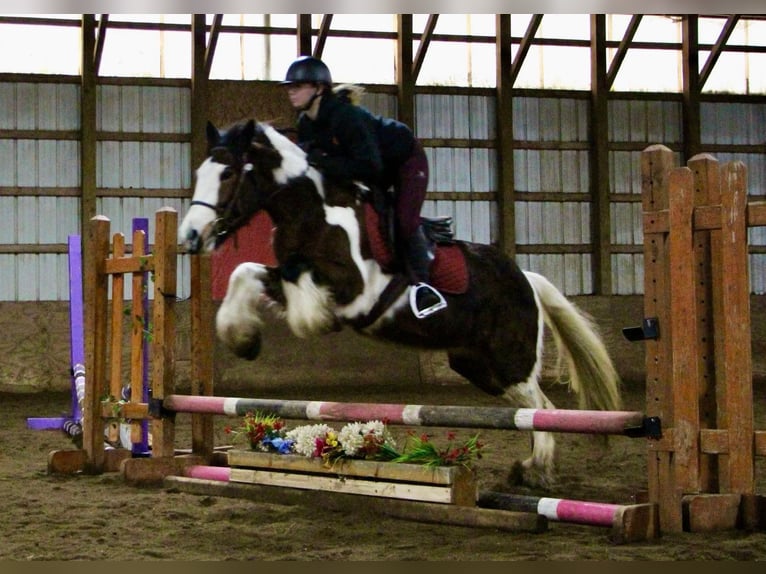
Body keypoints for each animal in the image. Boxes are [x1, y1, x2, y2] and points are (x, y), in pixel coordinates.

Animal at [180, 119, 624, 488]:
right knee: (533, 407)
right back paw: (534, 469)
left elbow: (300, 290)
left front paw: (306, 321)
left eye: (228, 173)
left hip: (509, 360)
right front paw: (242, 338)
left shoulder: (355, 291)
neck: (312, 211)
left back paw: (537, 470)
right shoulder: (285, 271)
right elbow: (245, 272)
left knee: (542, 405)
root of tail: (526, 279)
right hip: (478, 366)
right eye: (200, 173)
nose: (190, 236)